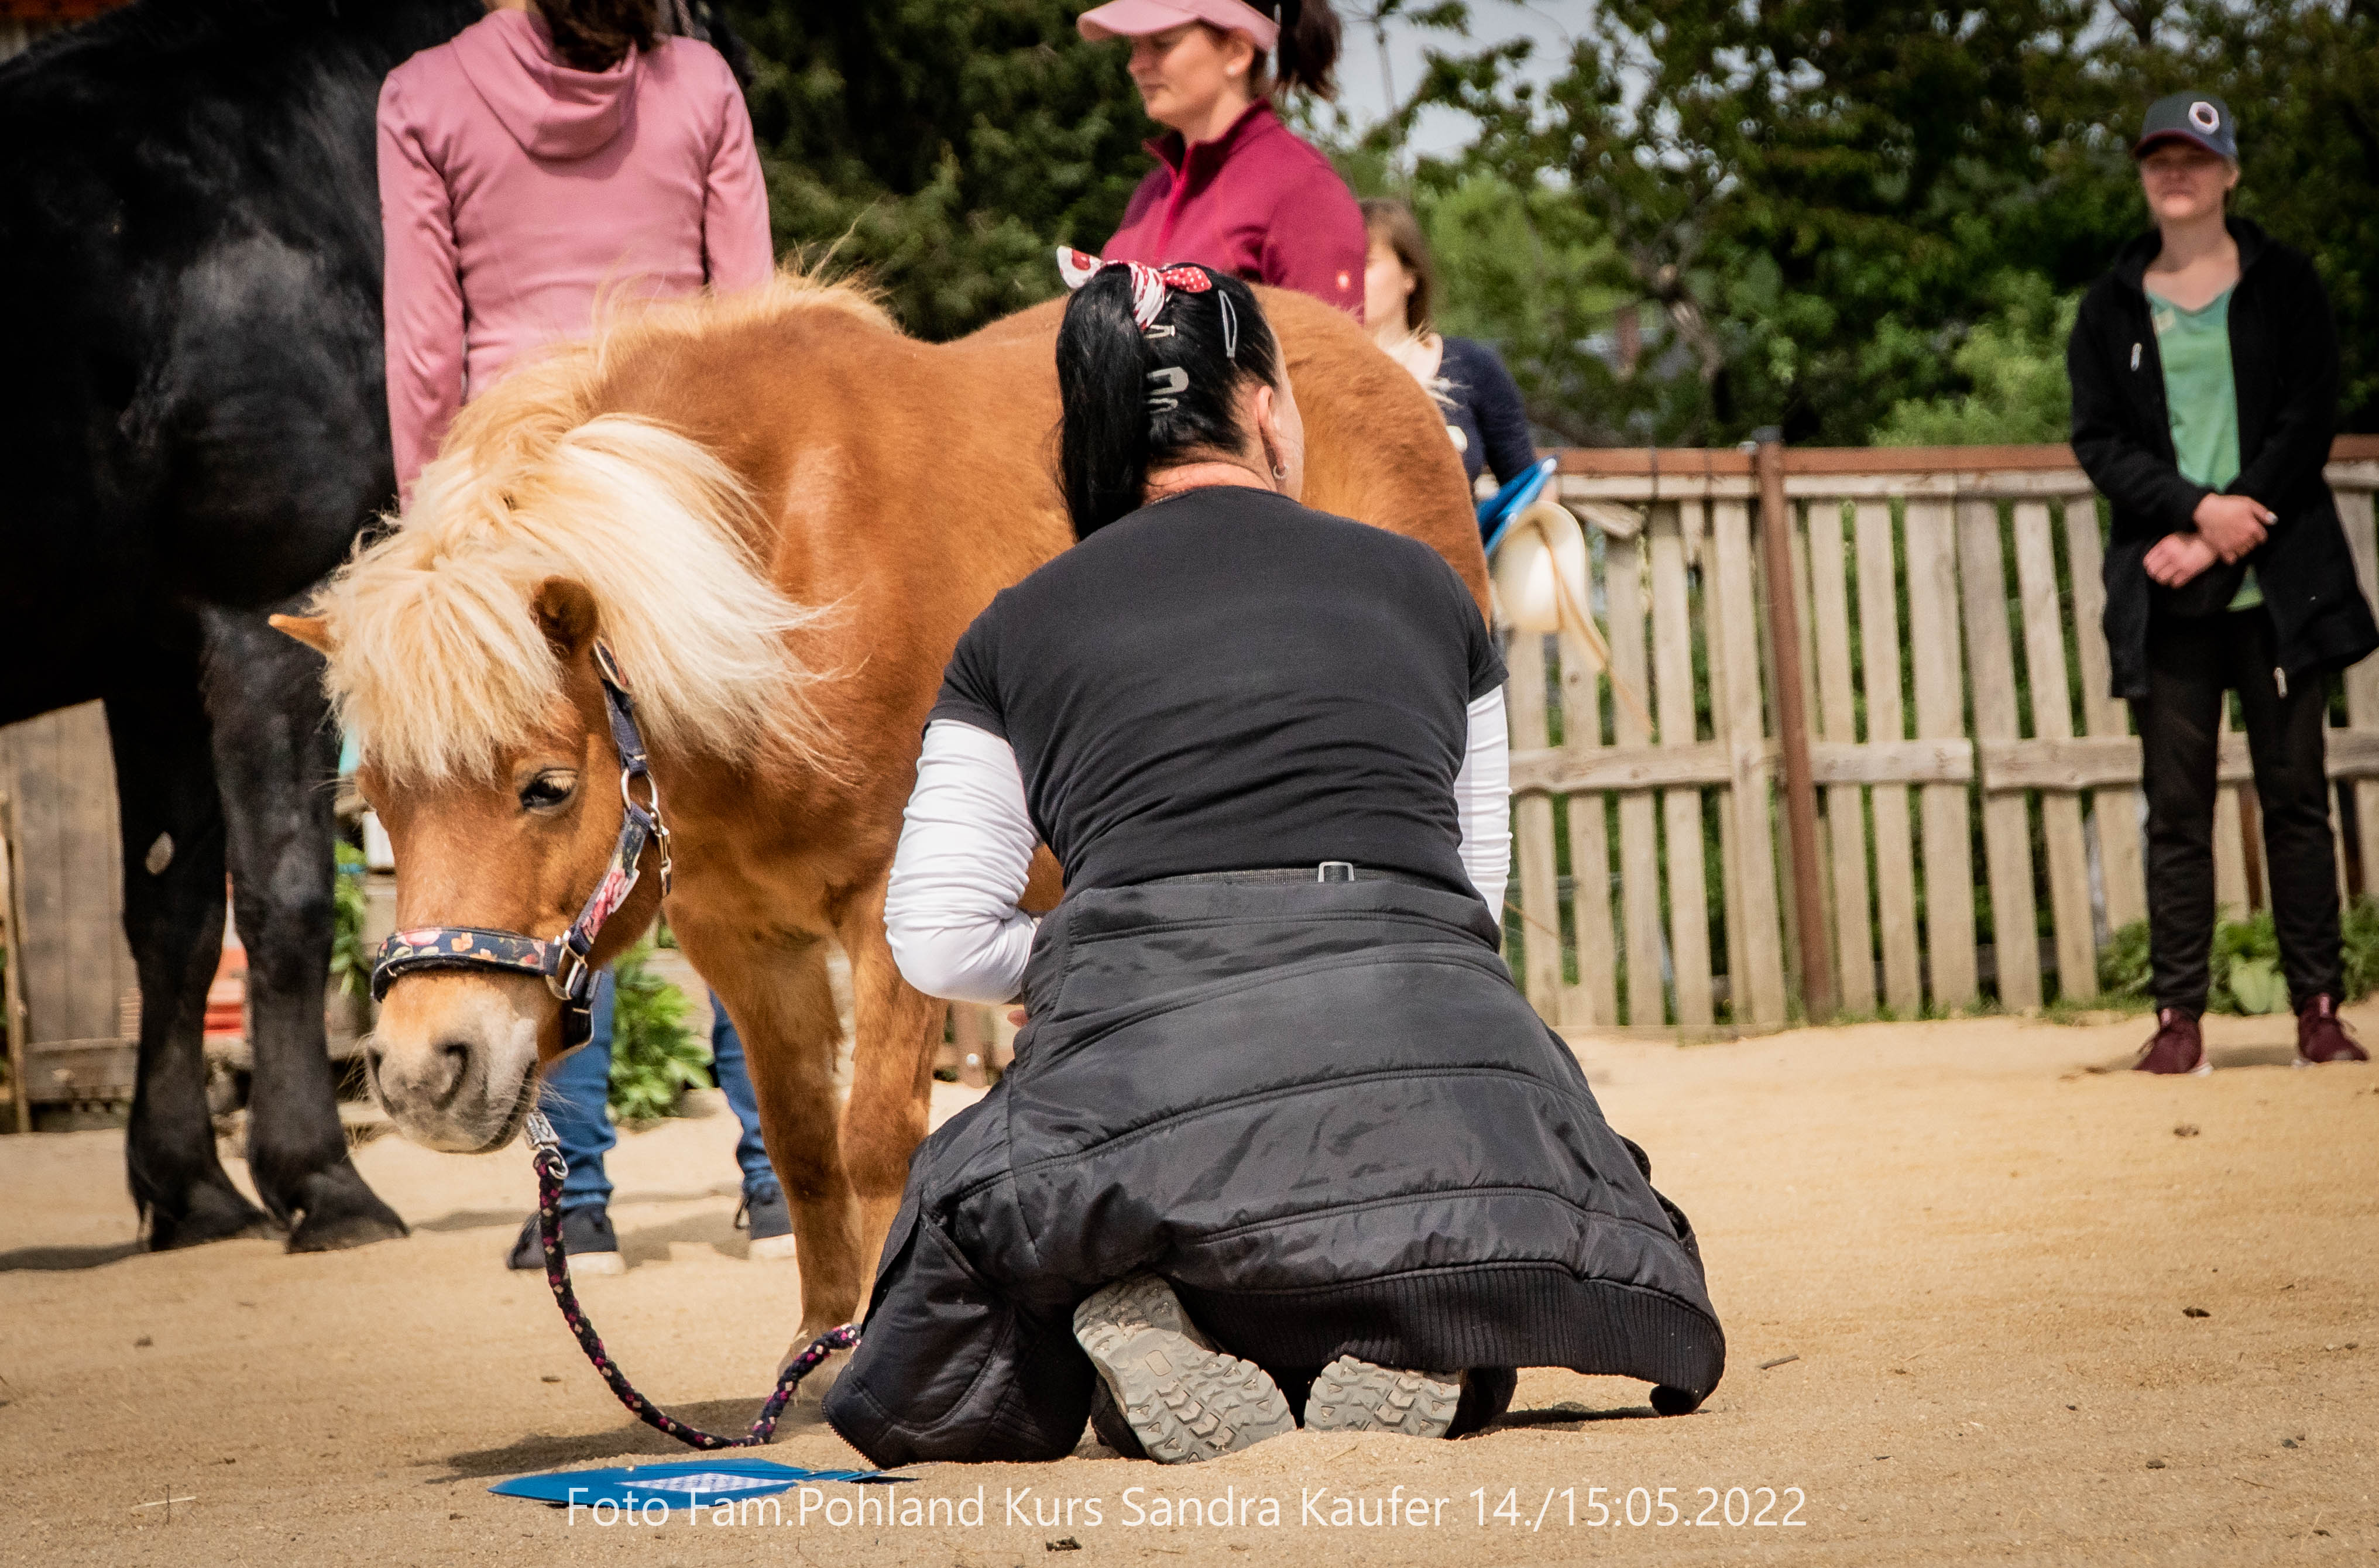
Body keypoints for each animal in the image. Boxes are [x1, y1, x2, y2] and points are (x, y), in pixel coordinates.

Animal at [0, 0, 741, 1250]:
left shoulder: (157, 660)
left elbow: (173, 917)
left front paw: (192, 1189)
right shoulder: (262, 622)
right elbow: (288, 900)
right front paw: (322, 1181)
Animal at [274, 272, 1485, 1346]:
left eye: (546, 786)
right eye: (382, 802)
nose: (425, 1070)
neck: (778, 579)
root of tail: (1393, 368)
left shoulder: (888, 906)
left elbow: (872, 1140)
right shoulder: (740, 934)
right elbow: (805, 1145)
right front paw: (819, 1345)